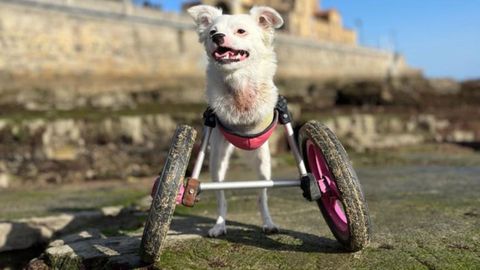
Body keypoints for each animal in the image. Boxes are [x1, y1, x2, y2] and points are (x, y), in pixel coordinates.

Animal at [188, 3, 284, 236]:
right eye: (212, 32)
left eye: (241, 31)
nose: (218, 37)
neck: (237, 80)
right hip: (217, 162)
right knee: (221, 195)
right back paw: (219, 225)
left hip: (263, 164)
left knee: (262, 196)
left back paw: (268, 223)